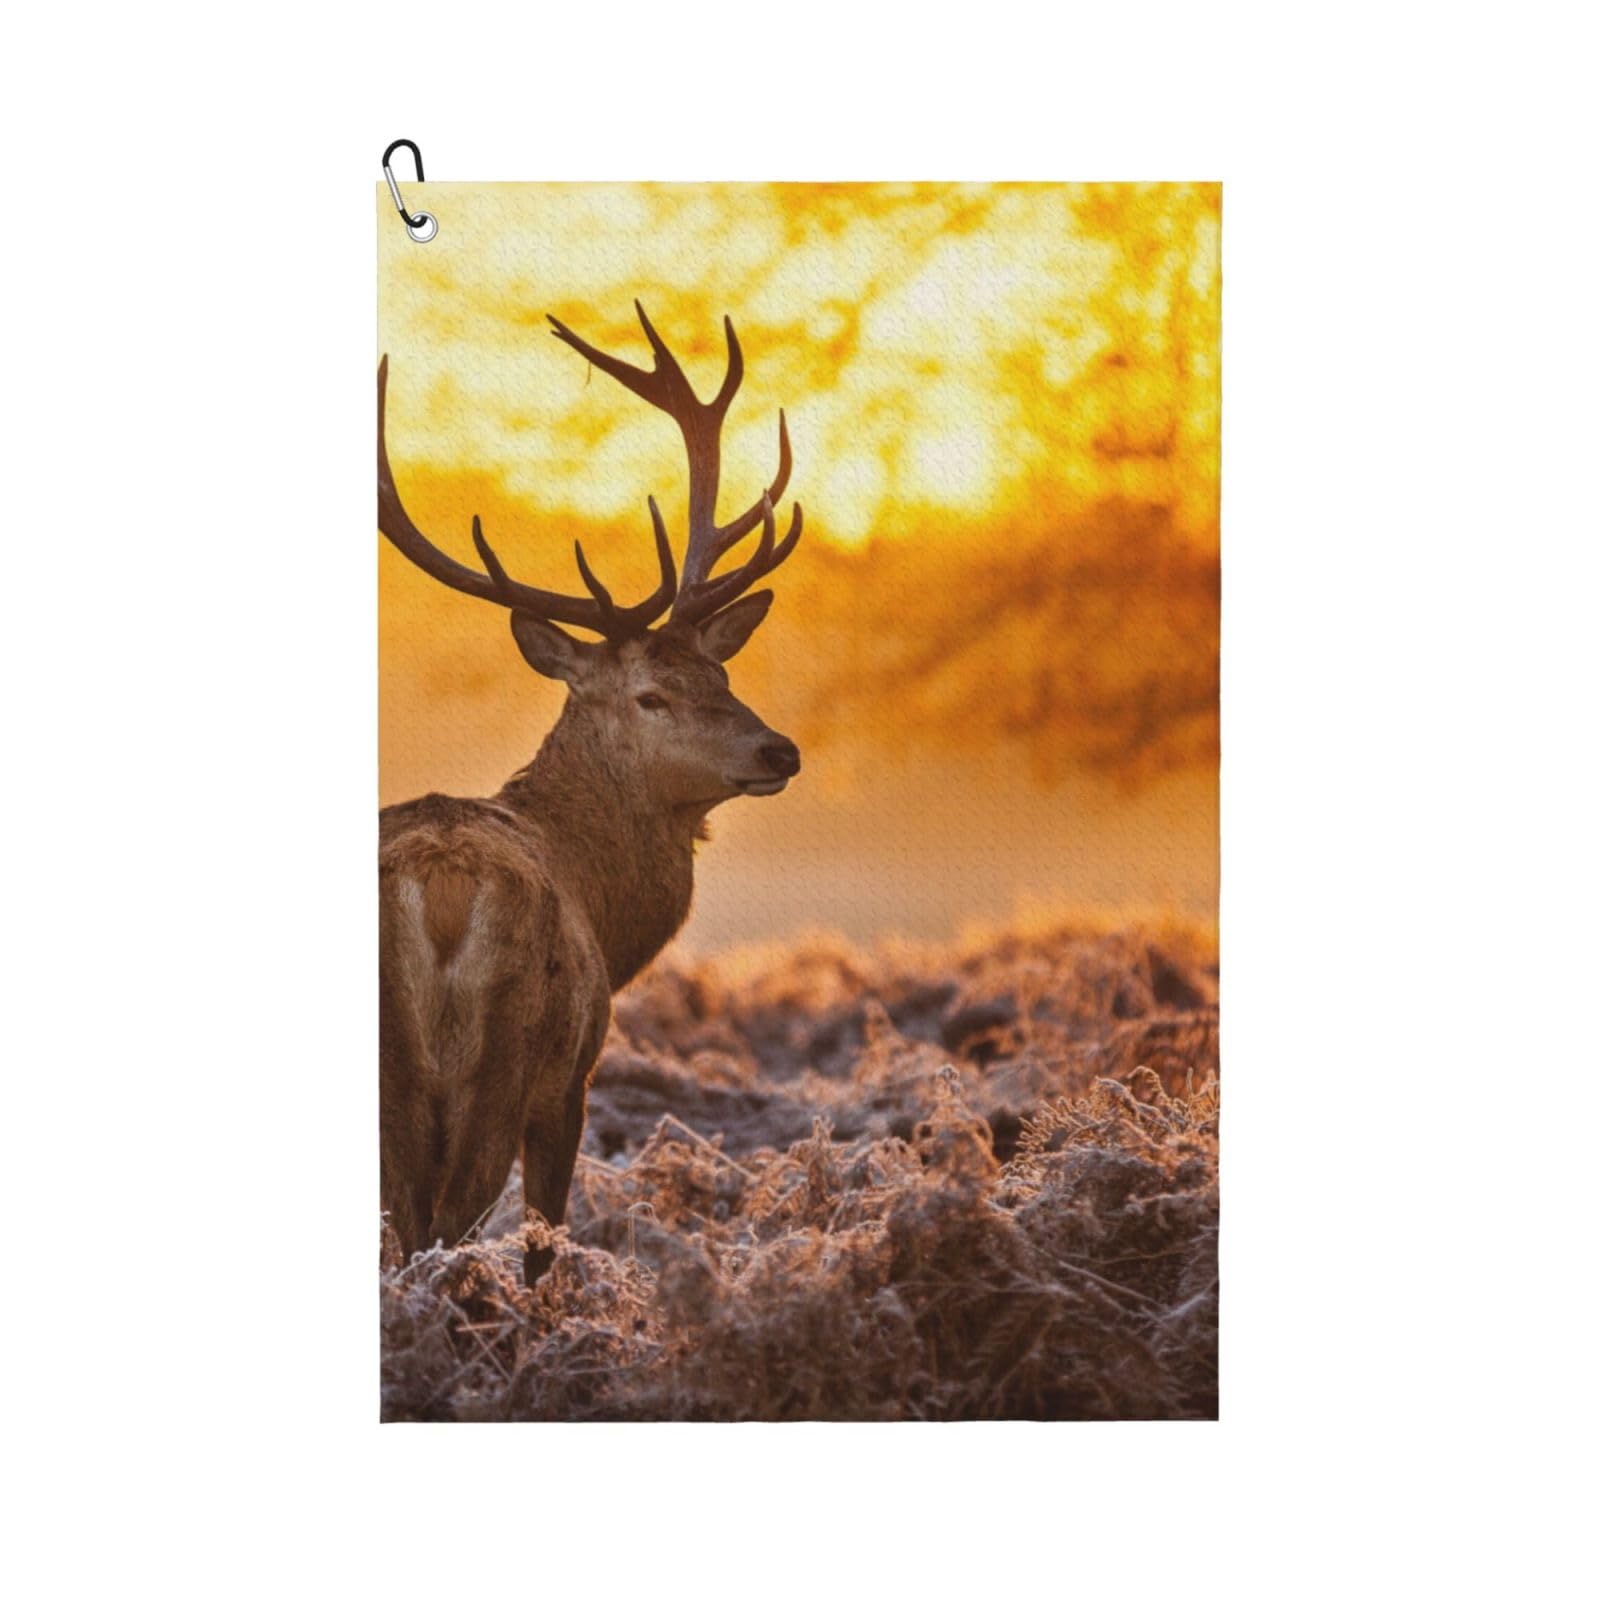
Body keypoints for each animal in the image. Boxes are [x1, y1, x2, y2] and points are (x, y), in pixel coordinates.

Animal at [377, 303, 803, 1283]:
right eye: (650, 695)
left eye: (721, 673)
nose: (780, 749)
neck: (608, 911)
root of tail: (440, 889)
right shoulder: (572, 1076)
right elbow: (546, 1240)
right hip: (503, 1058)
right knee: (447, 1227)